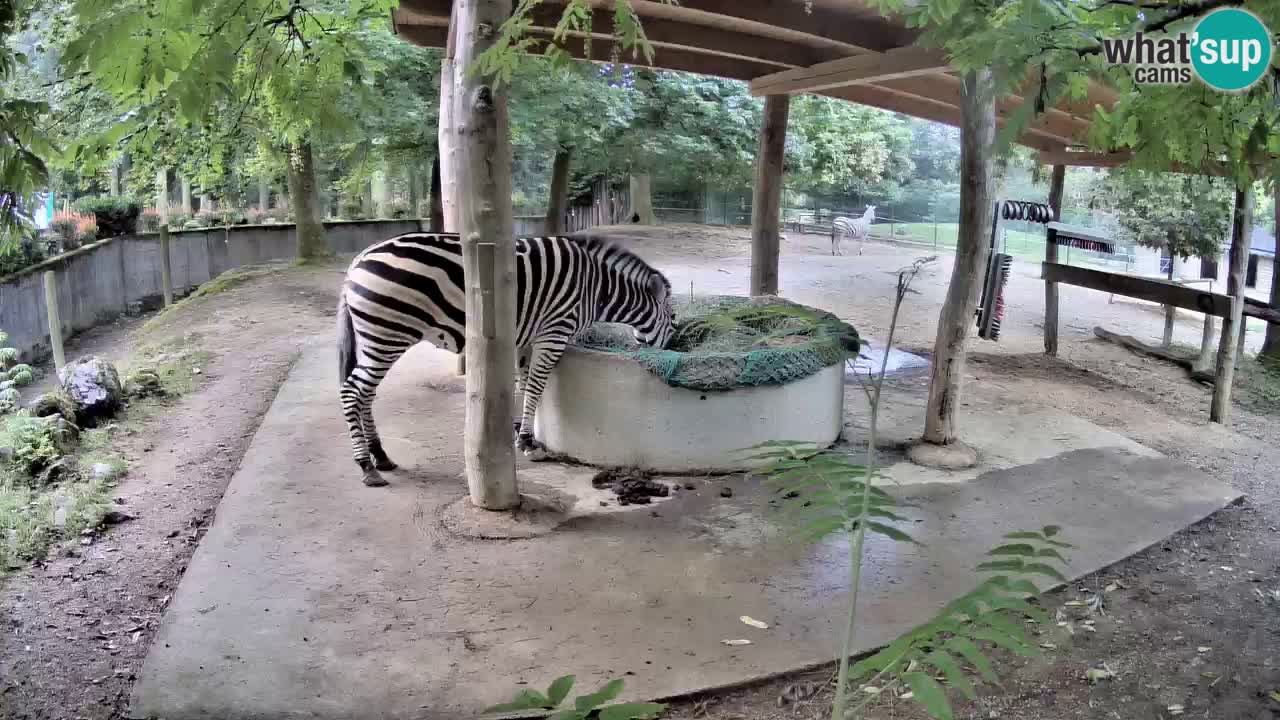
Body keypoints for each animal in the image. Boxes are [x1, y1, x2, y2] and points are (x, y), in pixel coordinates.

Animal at [336, 231, 676, 487]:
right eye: (672, 320)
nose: (675, 346)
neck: (596, 287)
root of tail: (357, 261)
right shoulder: (554, 332)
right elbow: (536, 387)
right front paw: (528, 442)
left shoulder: (526, 337)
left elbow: (524, 385)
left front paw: (517, 431)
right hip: (388, 334)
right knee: (352, 392)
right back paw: (366, 466)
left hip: (376, 338)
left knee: (366, 394)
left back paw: (381, 456)